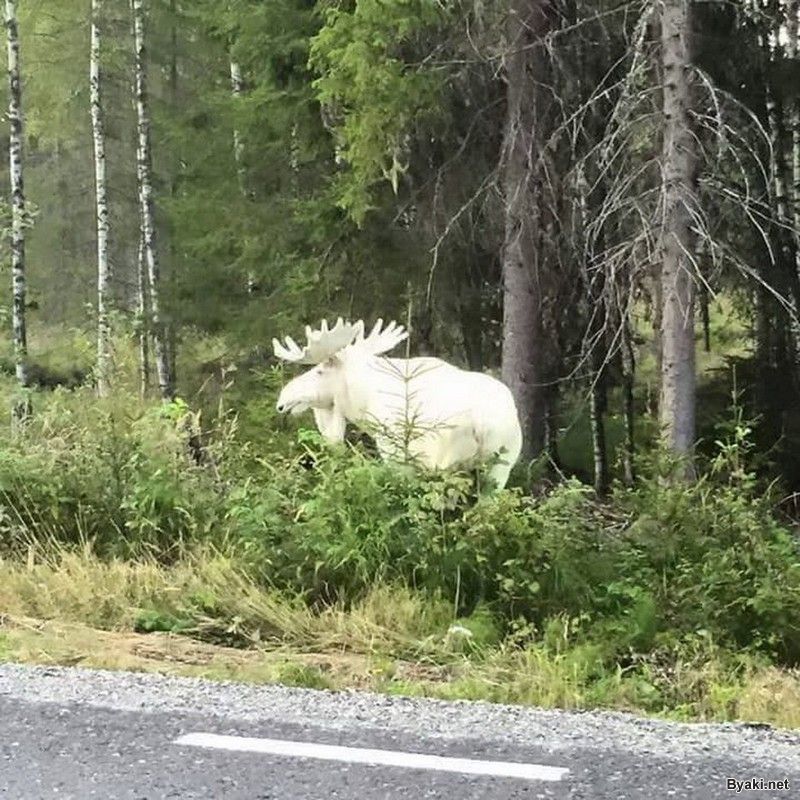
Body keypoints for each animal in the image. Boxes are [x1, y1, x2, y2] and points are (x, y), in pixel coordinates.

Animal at [274, 318, 524, 490]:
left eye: (319, 371)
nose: (282, 399)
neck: (362, 403)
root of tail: (483, 422)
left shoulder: (396, 454)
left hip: (439, 459)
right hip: (502, 464)